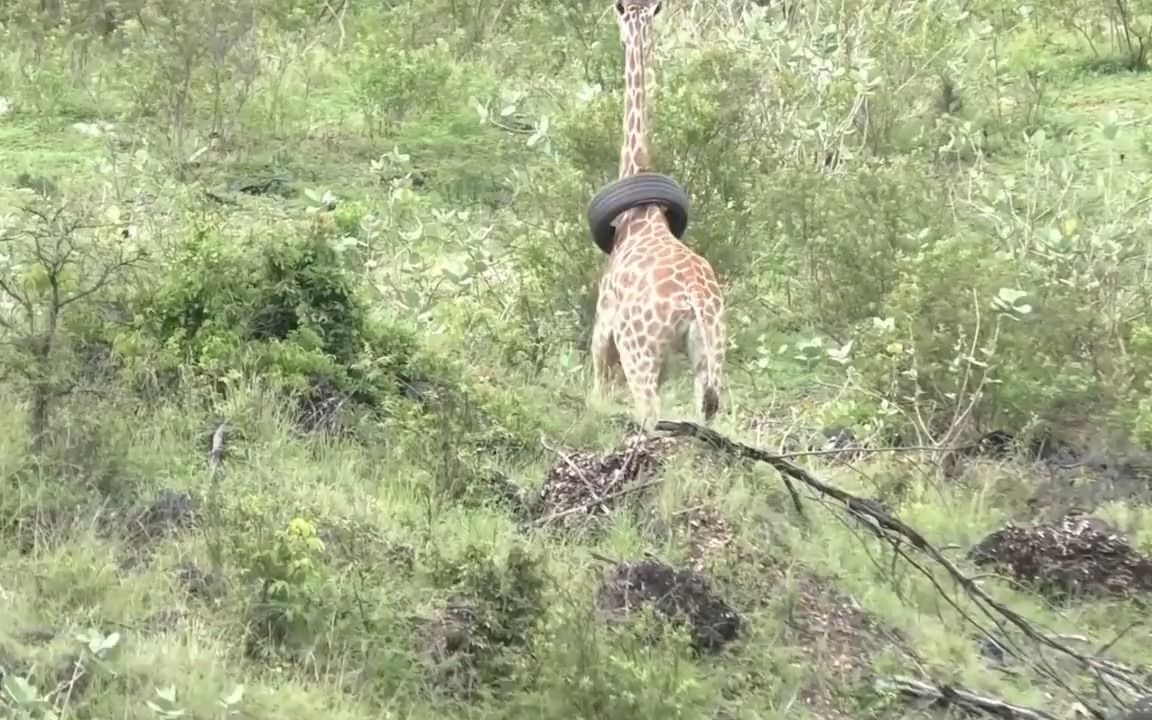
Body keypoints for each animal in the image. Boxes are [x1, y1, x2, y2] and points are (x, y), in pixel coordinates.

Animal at [589, 0, 723, 428]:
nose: (621, 39)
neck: (638, 215)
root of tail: (696, 300)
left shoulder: (603, 330)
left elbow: (595, 398)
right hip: (711, 355)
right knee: (709, 417)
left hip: (640, 350)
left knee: (648, 414)